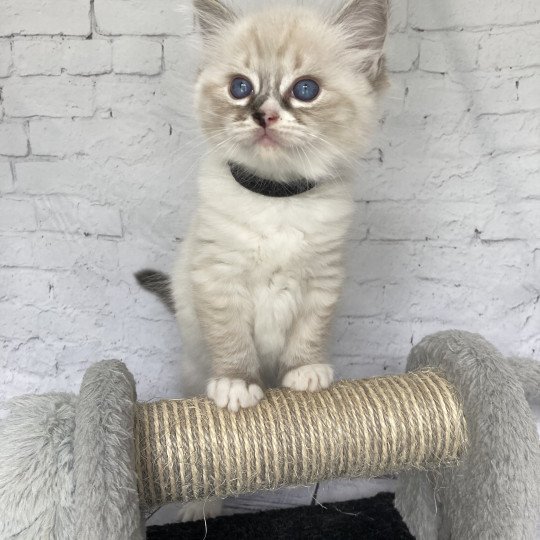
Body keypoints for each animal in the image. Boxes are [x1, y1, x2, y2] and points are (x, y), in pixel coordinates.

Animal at [137, 0, 386, 520]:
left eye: (305, 90)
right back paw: (200, 508)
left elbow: (308, 335)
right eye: (240, 87)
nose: (263, 115)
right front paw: (238, 387)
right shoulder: (218, 281)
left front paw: (304, 375)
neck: (277, 198)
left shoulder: (322, 282)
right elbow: (233, 343)